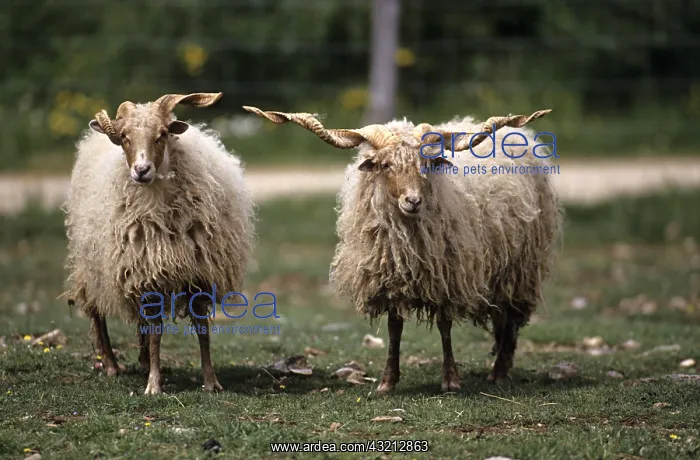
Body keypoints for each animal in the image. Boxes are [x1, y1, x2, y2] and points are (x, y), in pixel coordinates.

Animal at [62, 93, 255, 394]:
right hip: (91, 265)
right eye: (124, 137)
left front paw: (210, 381)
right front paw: (154, 385)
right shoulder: (146, 274)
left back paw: (141, 362)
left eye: (162, 134)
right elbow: (156, 333)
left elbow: (202, 329)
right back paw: (111, 364)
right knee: (96, 310)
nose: (141, 170)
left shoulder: (196, 274)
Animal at [243, 105, 560, 394]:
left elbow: (445, 327)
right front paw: (387, 382)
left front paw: (451, 380)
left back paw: (499, 372)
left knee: (512, 320)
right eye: (385, 165)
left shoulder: (446, 277)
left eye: (427, 164)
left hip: (522, 269)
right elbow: (394, 330)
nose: (413, 201)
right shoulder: (390, 280)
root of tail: (522, 135)